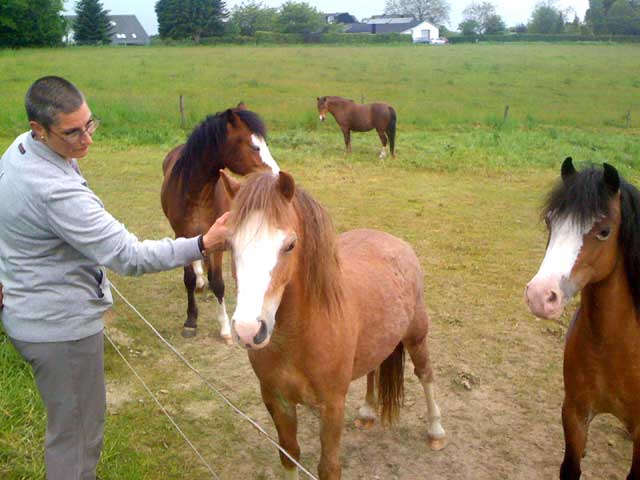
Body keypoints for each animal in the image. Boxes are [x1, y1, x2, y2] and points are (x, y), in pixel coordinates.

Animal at [160, 106, 278, 338]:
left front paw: (225, 328)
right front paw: (190, 321)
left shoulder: (217, 239)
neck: (197, 194)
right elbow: (188, 278)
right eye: (254, 146)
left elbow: (218, 282)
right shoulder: (181, 234)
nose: (278, 175)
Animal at [218, 170, 442, 480]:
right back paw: (367, 413)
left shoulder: (332, 405)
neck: (298, 336)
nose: (248, 331)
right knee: (374, 370)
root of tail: (396, 243)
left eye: (289, 245)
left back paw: (435, 431)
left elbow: (329, 467)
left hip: (416, 336)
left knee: (425, 374)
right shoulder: (276, 400)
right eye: (229, 244)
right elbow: (289, 455)